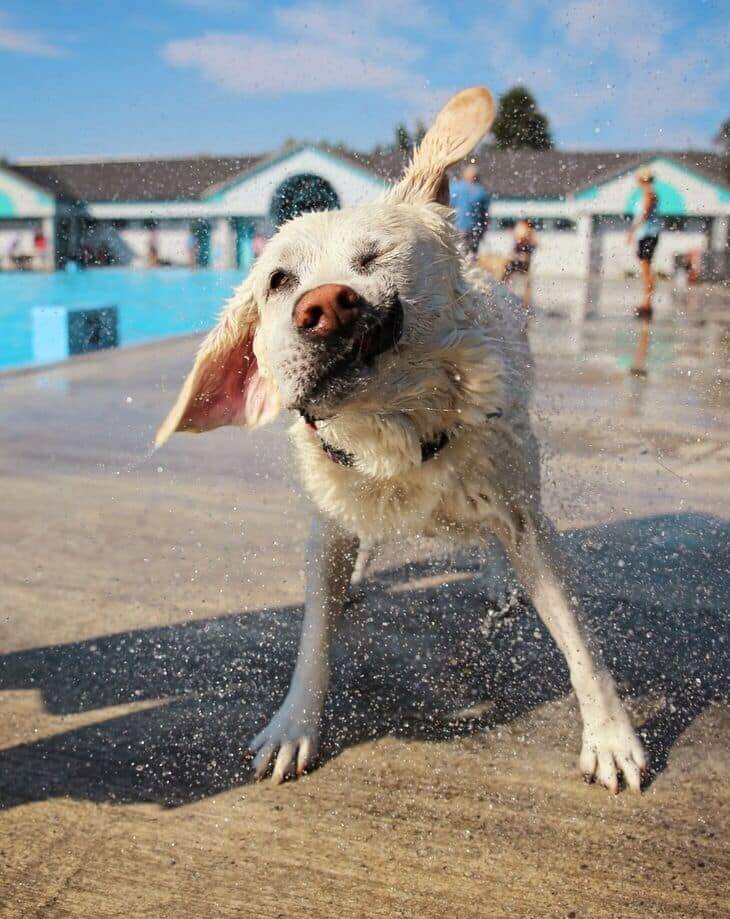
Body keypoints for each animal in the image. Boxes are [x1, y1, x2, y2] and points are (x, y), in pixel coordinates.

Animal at [156, 88, 644, 792]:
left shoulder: (522, 514)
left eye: (373, 256)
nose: (325, 305)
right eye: (278, 280)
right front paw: (294, 724)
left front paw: (610, 736)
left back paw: (498, 576)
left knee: (499, 537)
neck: (392, 429)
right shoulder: (329, 518)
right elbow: (314, 636)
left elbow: (580, 642)